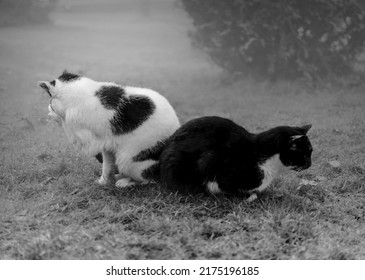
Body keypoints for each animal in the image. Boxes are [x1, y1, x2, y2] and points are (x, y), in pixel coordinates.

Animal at [38, 71, 179, 187]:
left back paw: (126, 183)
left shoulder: (88, 138)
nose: (48, 108)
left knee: (148, 180)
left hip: (128, 158)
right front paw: (104, 182)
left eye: (50, 102)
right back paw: (119, 176)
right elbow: (107, 165)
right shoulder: (107, 143)